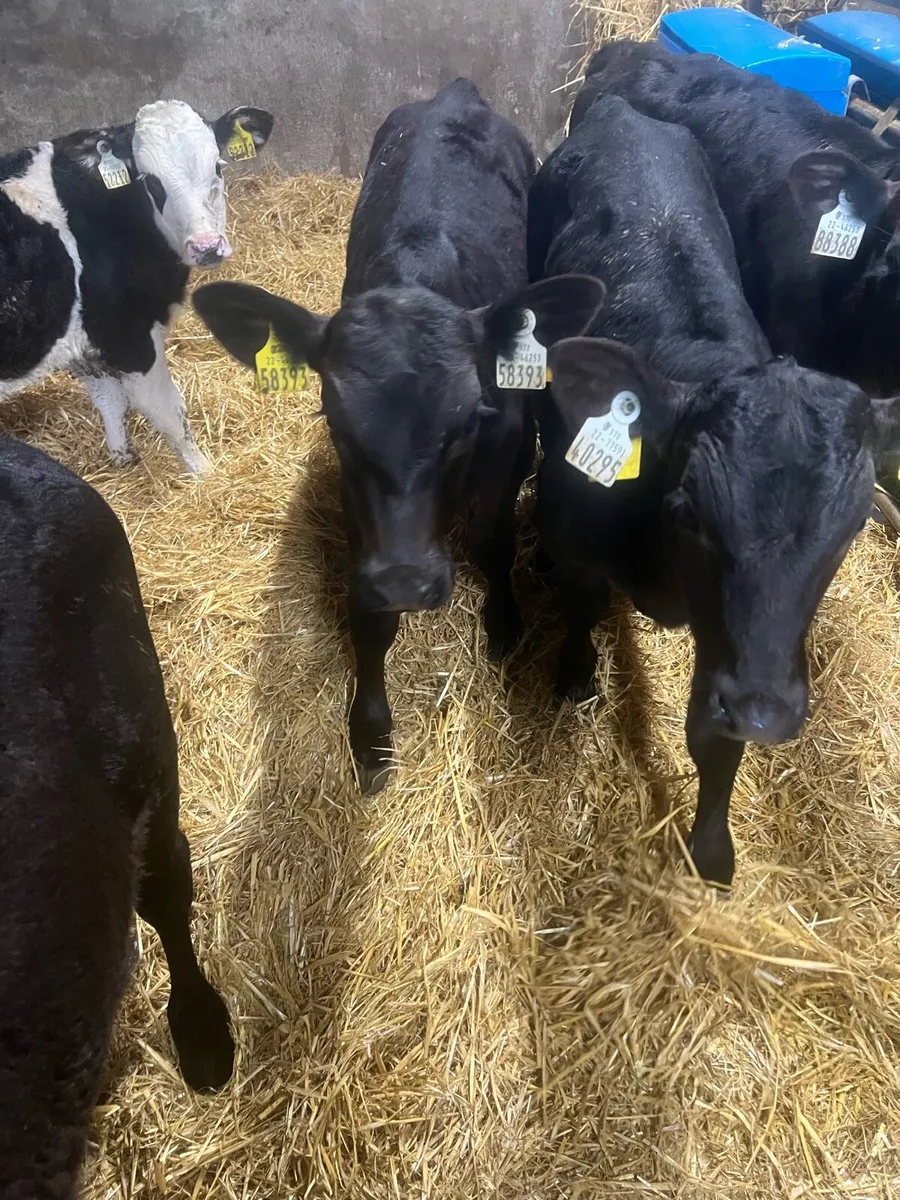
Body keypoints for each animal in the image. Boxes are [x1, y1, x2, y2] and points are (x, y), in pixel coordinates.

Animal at [0, 100, 273, 474]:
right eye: (152, 183)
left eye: (217, 167)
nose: (207, 247)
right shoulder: (128, 335)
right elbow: (168, 411)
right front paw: (206, 473)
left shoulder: (81, 337)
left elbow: (109, 399)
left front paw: (123, 457)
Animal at [192, 78, 604, 792]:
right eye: (334, 421)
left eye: (469, 419)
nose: (410, 582)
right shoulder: (361, 512)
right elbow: (371, 620)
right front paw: (371, 733)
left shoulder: (508, 457)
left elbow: (493, 543)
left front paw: (504, 622)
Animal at [529, 95, 900, 886]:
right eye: (692, 513)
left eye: (850, 530)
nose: (768, 713)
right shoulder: (577, 535)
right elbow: (580, 606)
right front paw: (575, 674)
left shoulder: (736, 647)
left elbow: (713, 737)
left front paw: (710, 849)